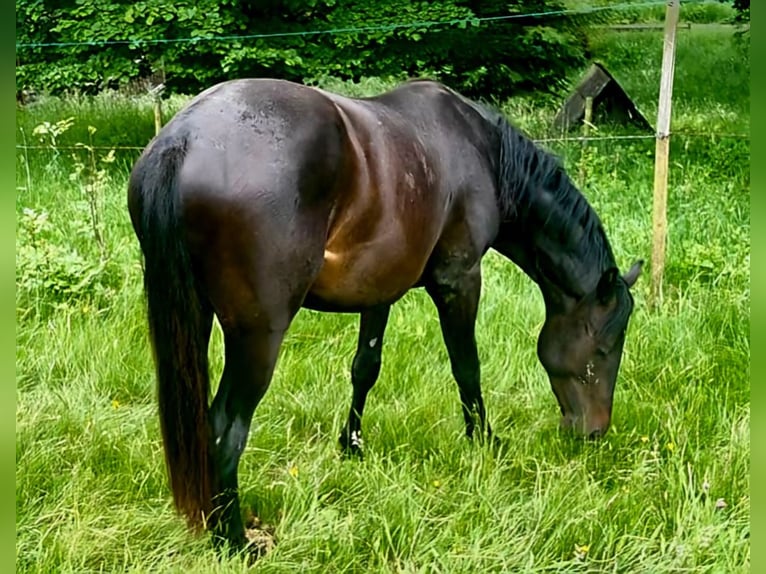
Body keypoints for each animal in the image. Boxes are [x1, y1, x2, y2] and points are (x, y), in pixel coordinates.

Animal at [127, 77, 642, 551]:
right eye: (604, 347)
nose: (594, 432)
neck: (482, 150)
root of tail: (183, 139)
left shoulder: (378, 288)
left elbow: (365, 368)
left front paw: (351, 446)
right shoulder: (460, 280)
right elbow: (467, 368)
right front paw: (484, 442)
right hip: (257, 336)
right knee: (224, 428)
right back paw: (234, 540)